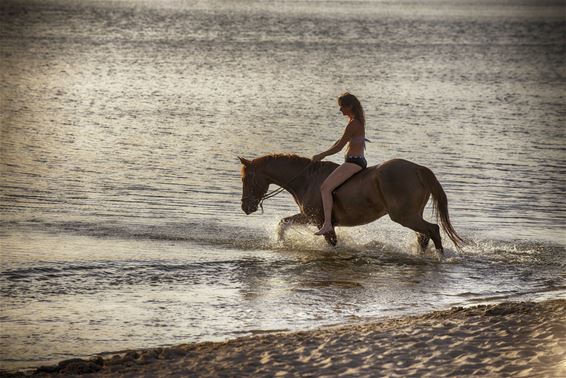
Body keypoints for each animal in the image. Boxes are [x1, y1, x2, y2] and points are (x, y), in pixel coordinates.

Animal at [237, 154, 464, 254]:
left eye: (245, 179)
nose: (245, 207)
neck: (306, 180)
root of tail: (417, 168)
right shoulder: (310, 218)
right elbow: (283, 223)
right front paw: (280, 244)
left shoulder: (318, 220)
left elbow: (331, 242)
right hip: (412, 215)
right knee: (424, 236)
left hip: (404, 216)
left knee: (433, 230)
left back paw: (440, 257)